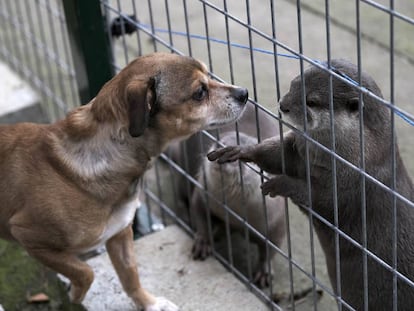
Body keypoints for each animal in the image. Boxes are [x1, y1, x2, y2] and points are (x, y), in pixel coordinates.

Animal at [0, 52, 247, 310]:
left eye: (209, 74)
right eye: (200, 92)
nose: (245, 93)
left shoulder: (119, 234)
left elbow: (130, 276)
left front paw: (149, 303)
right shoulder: (29, 237)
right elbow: (85, 271)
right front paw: (75, 294)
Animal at [209, 59, 414, 310]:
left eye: (312, 101)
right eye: (293, 84)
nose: (283, 105)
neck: (360, 157)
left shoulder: (352, 185)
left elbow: (318, 199)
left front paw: (280, 184)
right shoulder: (299, 149)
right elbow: (278, 155)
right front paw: (240, 150)